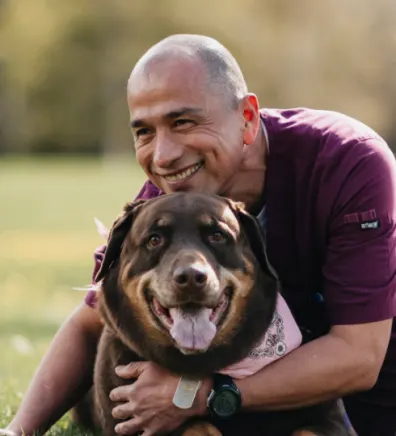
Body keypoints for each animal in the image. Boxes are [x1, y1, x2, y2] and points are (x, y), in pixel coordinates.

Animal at [75, 193, 352, 436]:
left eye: (217, 235)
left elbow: (309, 430)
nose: (191, 277)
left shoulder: (331, 420)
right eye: (154, 239)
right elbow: (197, 426)